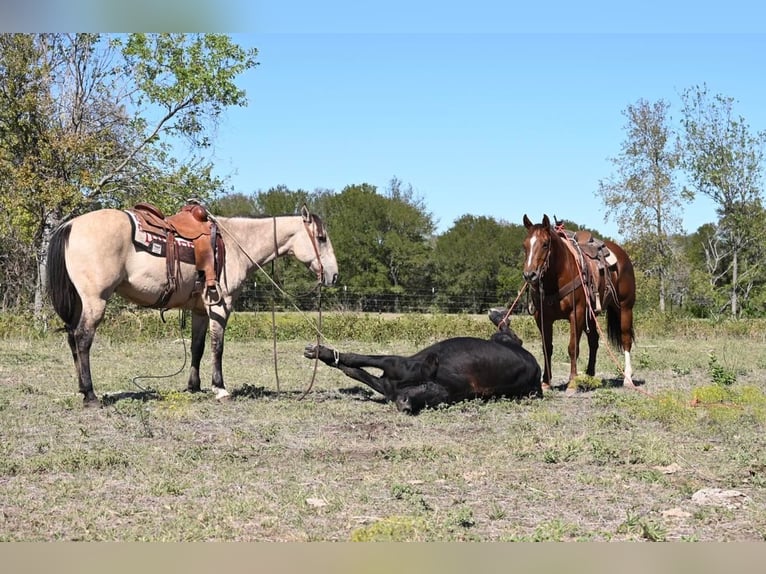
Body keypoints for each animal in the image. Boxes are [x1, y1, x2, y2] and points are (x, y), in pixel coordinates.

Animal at [45, 202, 340, 404]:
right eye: (322, 238)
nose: (334, 275)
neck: (235, 244)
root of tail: (70, 225)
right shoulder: (221, 306)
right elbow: (218, 347)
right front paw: (220, 388)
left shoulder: (200, 309)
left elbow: (198, 347)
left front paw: (194, 386)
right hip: (95, 300)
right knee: (82, 339)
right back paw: (90, 395)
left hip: (80, 303)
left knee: (72, 338)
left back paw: (82, 389)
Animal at [304, 316, 544, 414]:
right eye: (429, 388)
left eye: (438, 400)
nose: (406, 406)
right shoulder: (387, 380)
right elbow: (354, 370)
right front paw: (322, 353)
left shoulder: (395, 364)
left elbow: (356, 361)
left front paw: (319, 351)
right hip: (501, 340)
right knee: (511, 333)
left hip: (503, 341)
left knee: (510, 333)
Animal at [520, 215, 640, 396]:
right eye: (525, 245)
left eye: (545, 244)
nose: (530, 275)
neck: (557, 276)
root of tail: (621, 254)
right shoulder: (543, 318)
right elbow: (547, 347)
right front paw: (546, 382)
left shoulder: (576, 313)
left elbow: (572, 347)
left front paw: (572, 383)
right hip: (591, 315)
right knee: (594, 341)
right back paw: (589, 376)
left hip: (625, 308)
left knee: (626, 339)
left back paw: (627, 378)